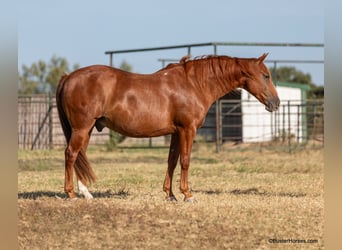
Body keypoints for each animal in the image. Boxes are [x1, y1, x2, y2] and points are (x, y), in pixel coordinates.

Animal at [56, 53, 280, 202]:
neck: (194, 84)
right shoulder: (188, 130)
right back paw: (71, 194)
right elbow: (185, 161)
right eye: (265, 75)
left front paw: (170, 194)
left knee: (80, 156)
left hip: (87, 129)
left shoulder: (176, 132)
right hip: (81, 128)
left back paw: (86, 193)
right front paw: (188, 194)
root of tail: (69, 77)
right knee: (71, 154)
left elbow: (172, 161)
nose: (276, 103)